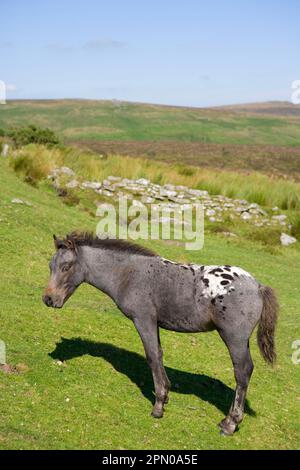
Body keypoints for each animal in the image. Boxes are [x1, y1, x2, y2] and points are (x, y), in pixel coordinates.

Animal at [43, 233, 278, 436]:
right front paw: (165, 397)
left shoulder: (143, 319)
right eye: (50, 266)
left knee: (242, 372)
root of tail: (258, 286)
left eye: (66, 267)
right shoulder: (153, 323)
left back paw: (230, 423)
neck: (127, 274)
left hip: (234, 338)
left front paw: (158, 406)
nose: (48, 299)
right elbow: (159, 354)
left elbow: (152, 356)